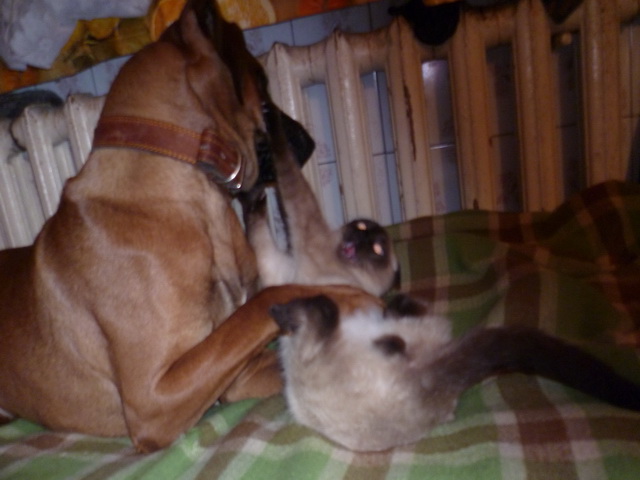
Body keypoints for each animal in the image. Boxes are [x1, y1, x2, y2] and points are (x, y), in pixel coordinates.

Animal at [270, 289, 640, 451]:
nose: (277, 311)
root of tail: (428, 383)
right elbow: (320, 308)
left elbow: (318, 308)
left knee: (402, 312)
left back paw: (391, 314)